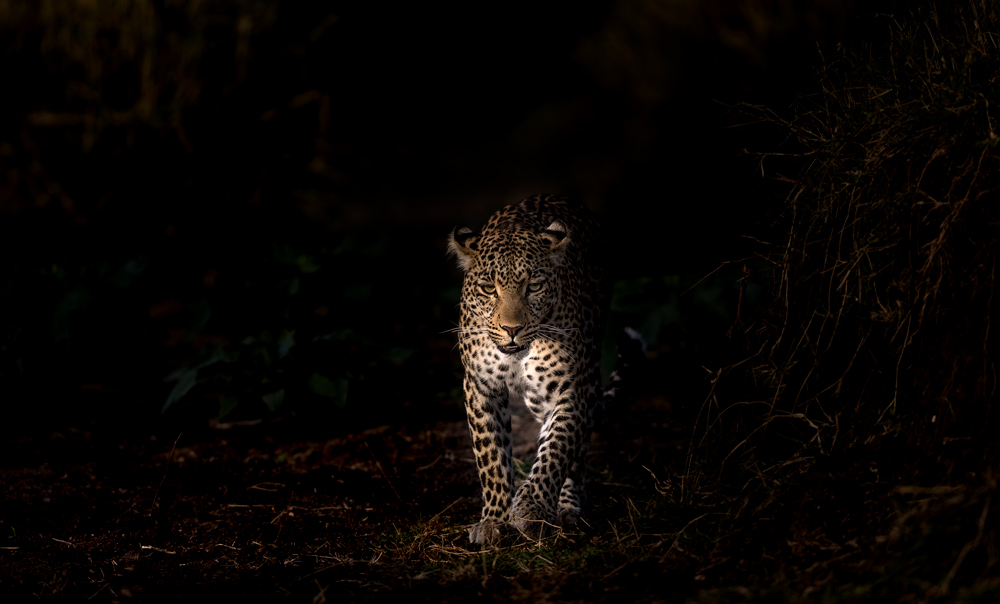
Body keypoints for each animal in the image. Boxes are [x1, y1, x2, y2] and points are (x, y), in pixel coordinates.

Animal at [448, 194, 639, 545]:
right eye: (488, 288)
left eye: (534, 286)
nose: (511, 329)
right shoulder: (480, 387)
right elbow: (491, 456)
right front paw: (494, 519)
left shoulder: (568, 388)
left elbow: (557, 449)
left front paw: (532, 508)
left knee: (577, 448)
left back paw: (566, 505)